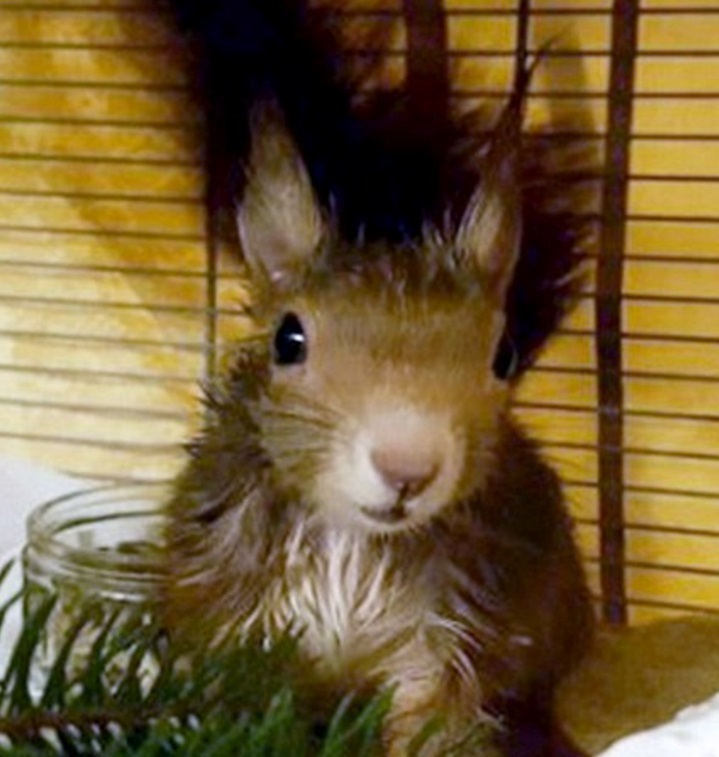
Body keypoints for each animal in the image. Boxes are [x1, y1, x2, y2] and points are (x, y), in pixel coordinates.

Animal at [162, 2, 596, 752]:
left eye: (503, 356)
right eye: (289, 339)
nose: (407, 467)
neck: (356, 547)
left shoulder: (443, 641)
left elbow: (428, 724)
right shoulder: (245, 629)